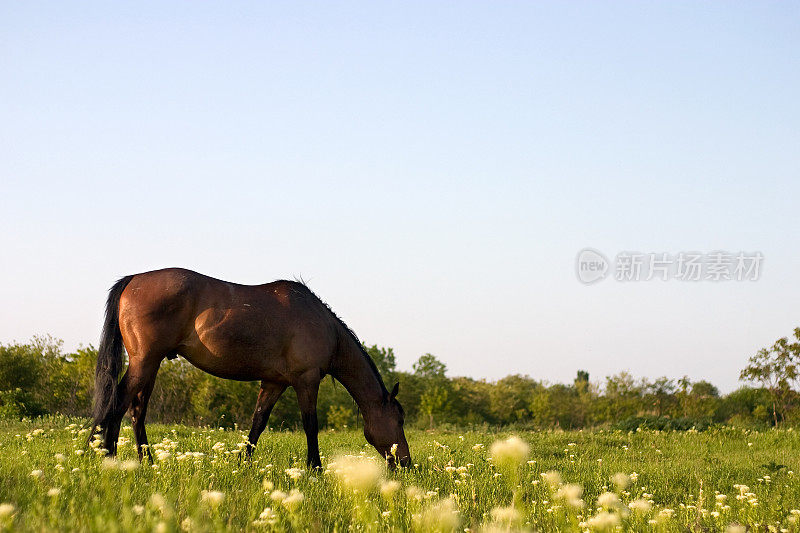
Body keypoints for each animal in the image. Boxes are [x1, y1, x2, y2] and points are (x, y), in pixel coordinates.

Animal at [90, 266, 410, 466]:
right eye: (399, 420)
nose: (406, 463)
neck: (324, 327)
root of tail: (133, 279)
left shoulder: (274, 383)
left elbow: (258, 423)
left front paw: (244, 463)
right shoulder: (306, 381)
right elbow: (311, 426)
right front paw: (315, 470)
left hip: (151, 364)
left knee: (136, 410)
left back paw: (146, 462)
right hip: (144, 362)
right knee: (118, 403)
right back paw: (107, 457)